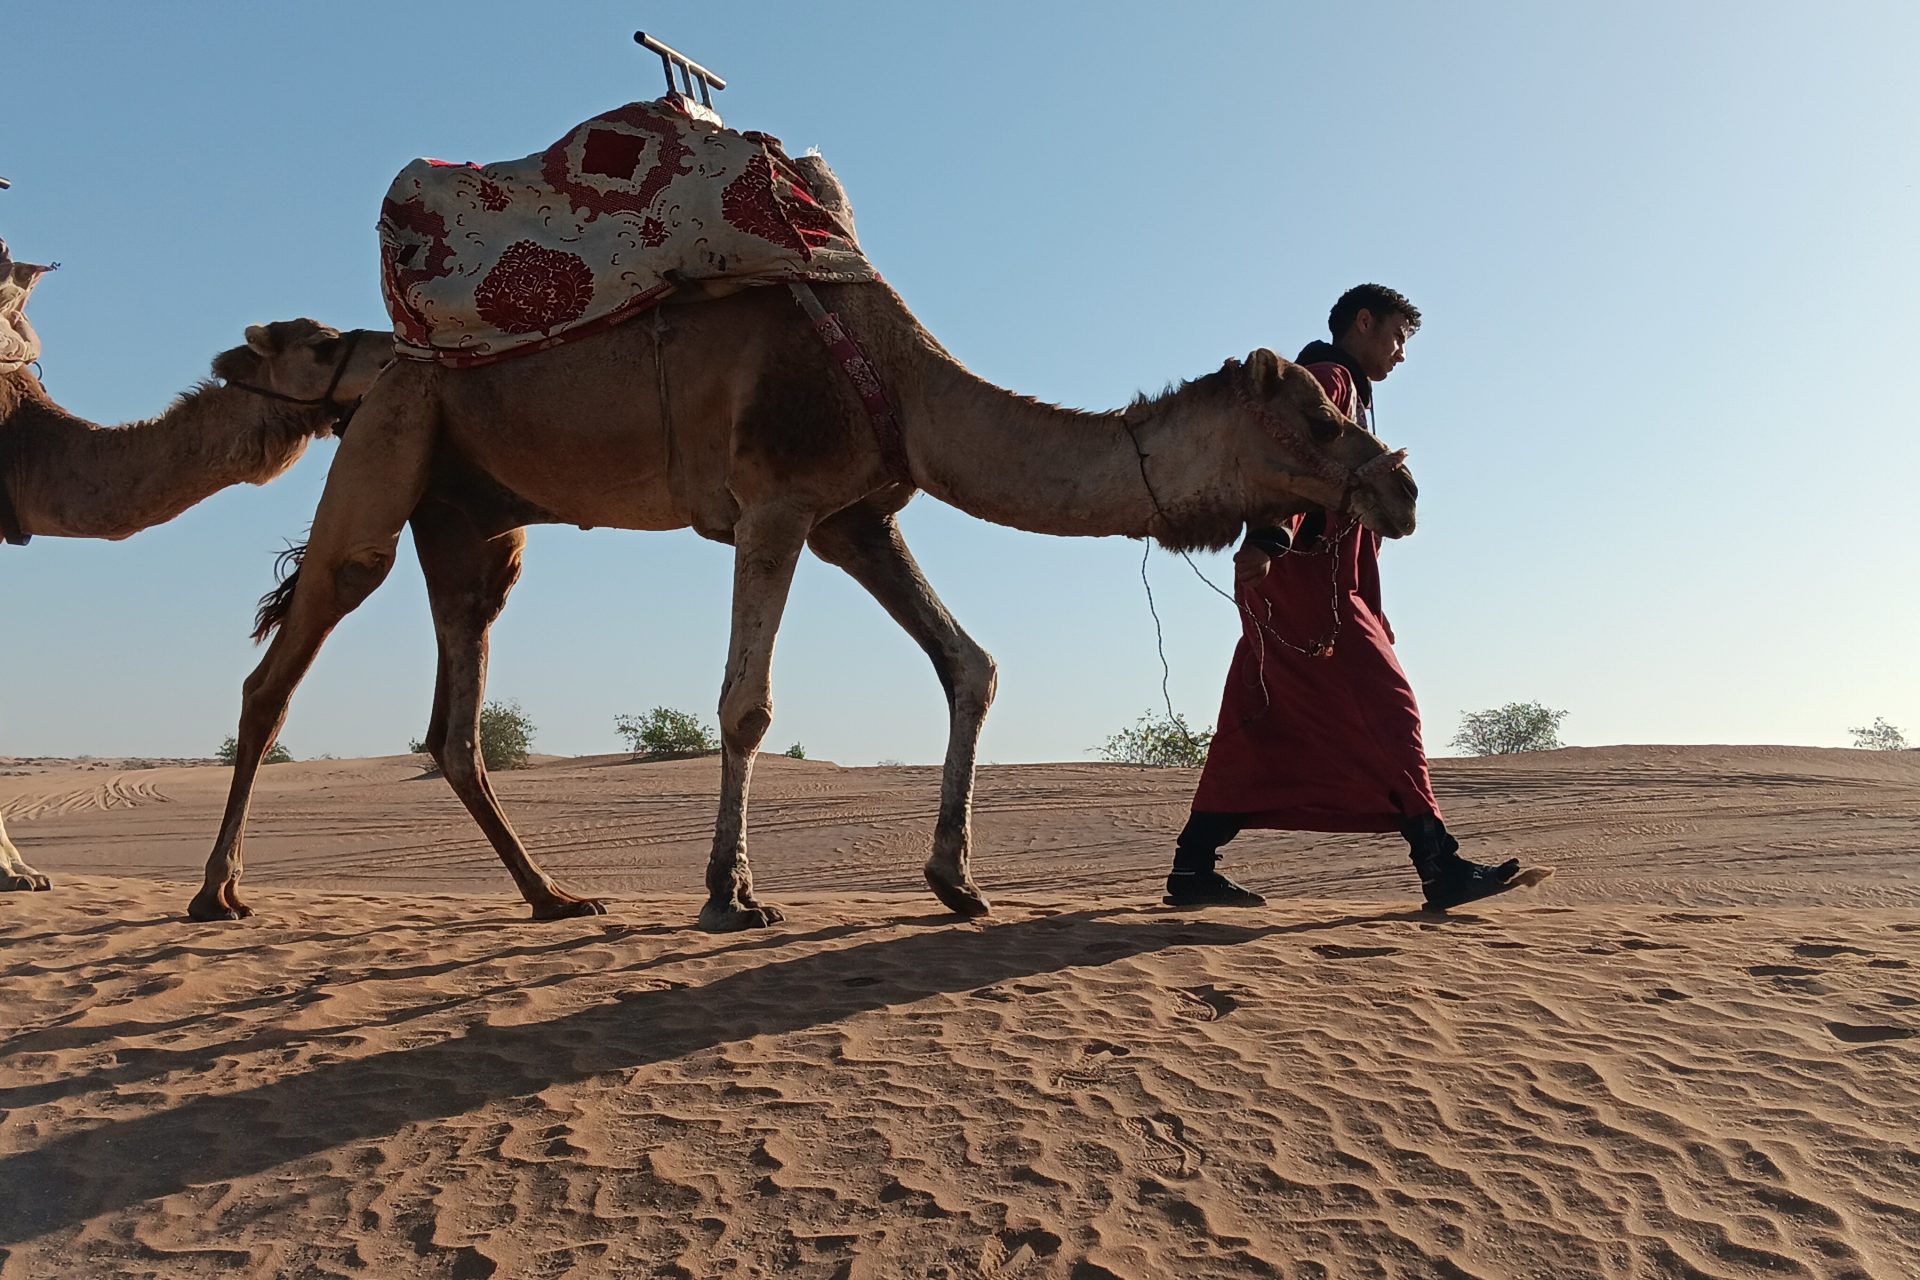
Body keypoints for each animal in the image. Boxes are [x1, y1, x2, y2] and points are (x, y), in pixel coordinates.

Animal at [194, 260, 1420, 932]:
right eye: (1321, 419)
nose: (1401, 486)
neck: (908, 385)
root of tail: (371, 358)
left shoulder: (857, 521)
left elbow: (971, 663)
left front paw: (957, 881)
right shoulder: (777, 504)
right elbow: (745, 705)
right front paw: (731, 894)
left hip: (472, 518)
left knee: (456, 718)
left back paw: (553, 897)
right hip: (392, 447)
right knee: (278, 669)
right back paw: (216, 893)